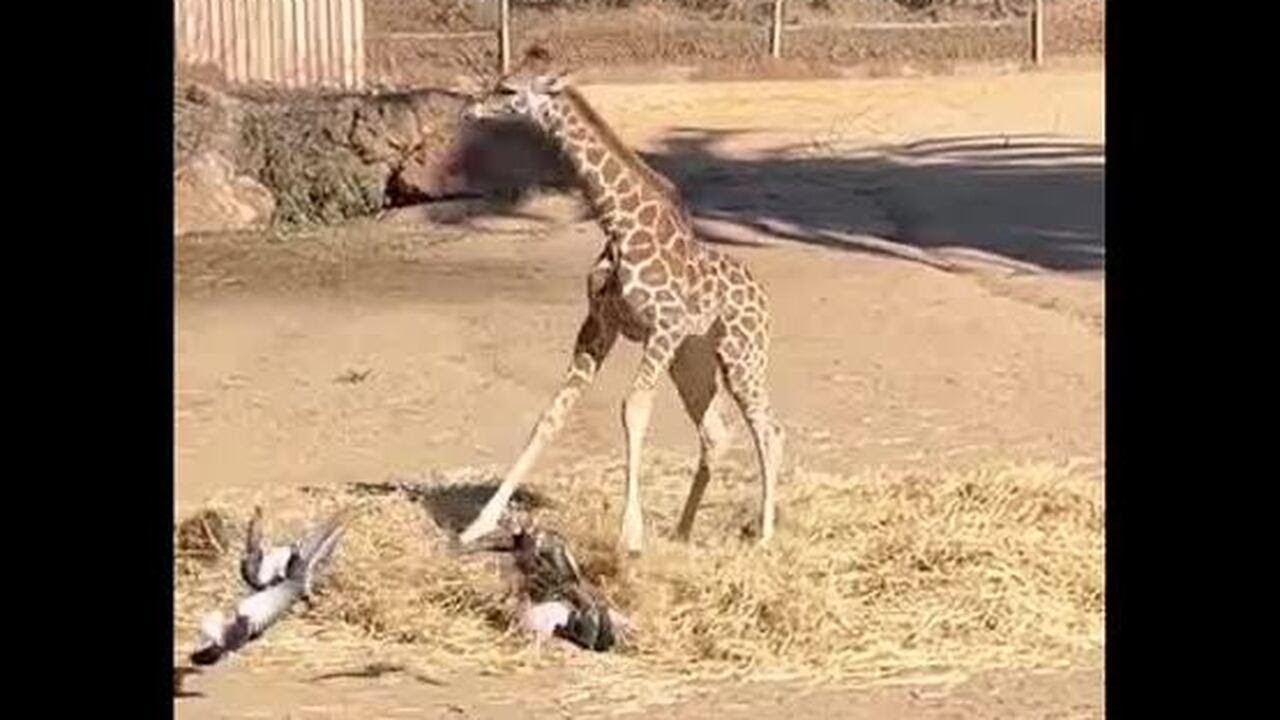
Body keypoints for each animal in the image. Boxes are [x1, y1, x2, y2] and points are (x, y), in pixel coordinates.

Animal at [456, 73, 784, 554]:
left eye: (508, 90)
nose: (469, 109)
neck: (619, 225)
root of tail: (763, 299)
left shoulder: (662, 327)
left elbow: (634, 408)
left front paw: (630, 536)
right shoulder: (599, 326)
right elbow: (550, 415)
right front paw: (477, 524)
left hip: (742, 356)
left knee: (768, 430)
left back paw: (764, 535)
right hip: (692, 361)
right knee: (715, 433)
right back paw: (682, 533)